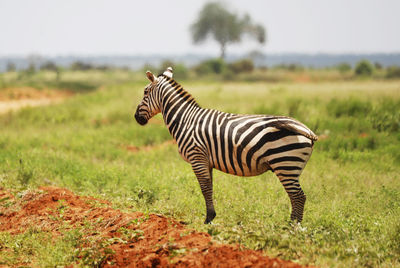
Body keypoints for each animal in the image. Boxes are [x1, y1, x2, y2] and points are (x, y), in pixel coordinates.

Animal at [134, 67, 316, 224]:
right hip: (290, 167)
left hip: (285, 163)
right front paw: (211, 217)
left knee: (298, 197)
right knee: (298, 196)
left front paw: (208, 220)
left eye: (145, 92)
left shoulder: (197, 157)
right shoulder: (206, 161)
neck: (186, 119)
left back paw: (292, 228)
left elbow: (204, 188)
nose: (136, 117)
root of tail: (306, 129)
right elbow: (209, 187)